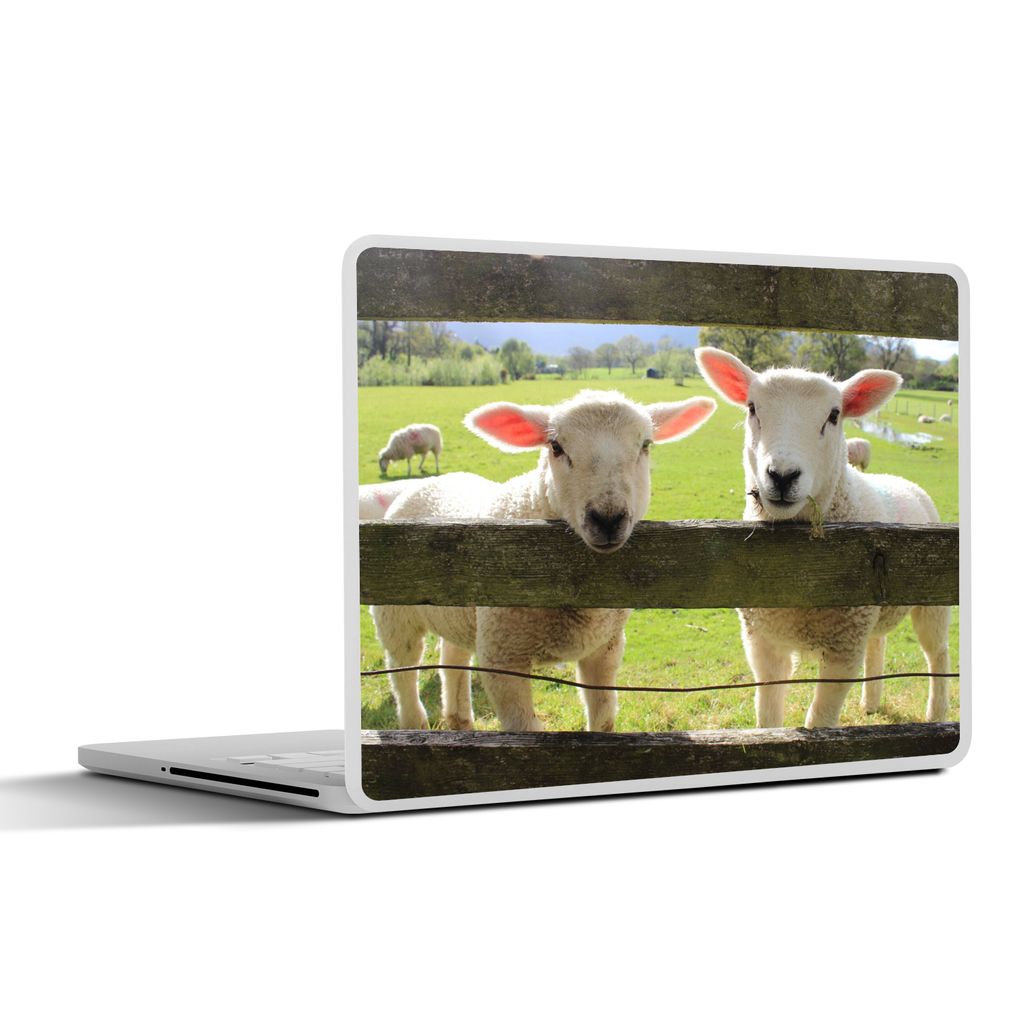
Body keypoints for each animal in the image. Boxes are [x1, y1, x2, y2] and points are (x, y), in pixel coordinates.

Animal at [370, 390, 716, 732]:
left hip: (461, 615)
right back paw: (415, 725)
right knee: (402, 670)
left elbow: (603, 721)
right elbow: (527, 730)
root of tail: (432, 482)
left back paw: (460, 722)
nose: (607, 519)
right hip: (395, 614)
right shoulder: (502, 658)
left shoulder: (605, 646)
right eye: (556, 447)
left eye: (645, 445)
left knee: (452, 658)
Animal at [695, 347, 951, 728]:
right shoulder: (762, 641)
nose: (782, 476)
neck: (803, 566)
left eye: (834, 415)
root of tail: (902, 481)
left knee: (937, 654)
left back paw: (937, 715)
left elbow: (820, 720)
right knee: (878, 644)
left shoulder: (844, 648)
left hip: (932, 600)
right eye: (752, 408)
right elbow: (767, 716)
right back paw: (871, 703)